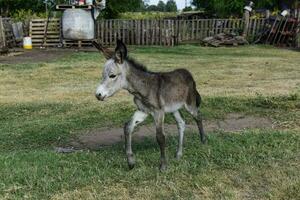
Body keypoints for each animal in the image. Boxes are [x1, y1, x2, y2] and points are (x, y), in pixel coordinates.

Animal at [93, 39, 206, 171]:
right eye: (102, 75)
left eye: (112, 76)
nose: (98, 95)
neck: (143, 88)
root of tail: (187, 73)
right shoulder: (143, 111)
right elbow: (128, 127)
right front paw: (131, 162)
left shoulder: (158, 112)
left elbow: (160, 137)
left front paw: (163, 166)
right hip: (173, 108)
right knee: (181, 123)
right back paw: (178, 154)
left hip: (189, 104)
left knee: (198, 117)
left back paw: (203, 142)